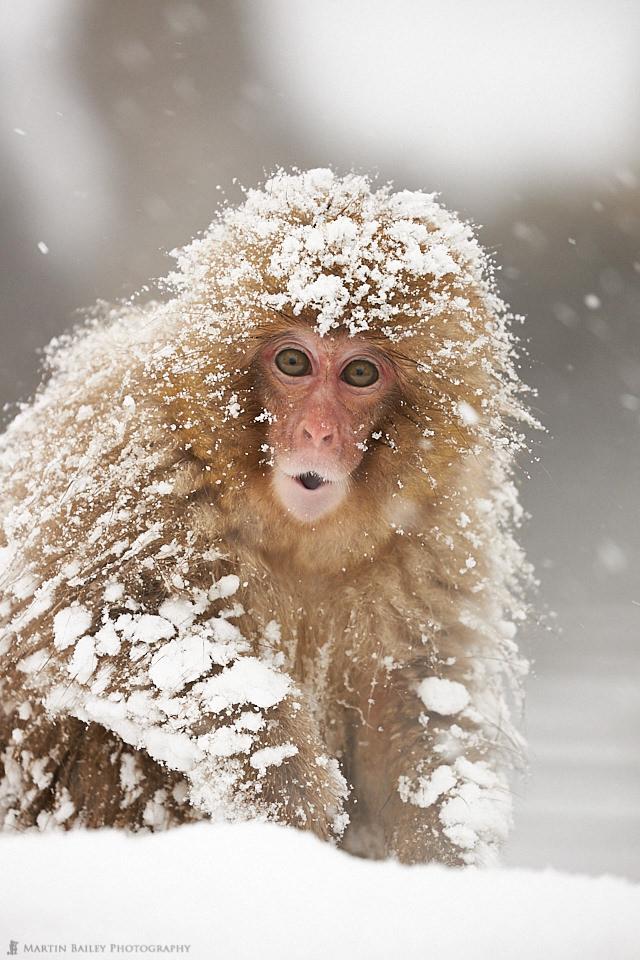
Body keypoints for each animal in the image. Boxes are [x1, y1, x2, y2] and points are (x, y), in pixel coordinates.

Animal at [0, 169, 528, 868]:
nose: (319, 432)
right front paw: (286, 789)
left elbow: (415, 700)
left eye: (361, 372)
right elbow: (95, 621)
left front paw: (448, 857)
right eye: (294, 362)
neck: (297, 531)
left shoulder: (439, 525)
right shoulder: (131, 455)